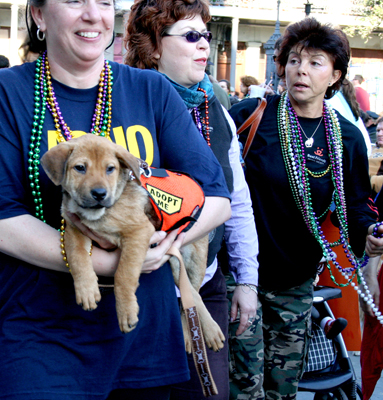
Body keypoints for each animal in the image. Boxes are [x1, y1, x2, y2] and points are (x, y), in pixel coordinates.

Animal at [40, 135, 225, 354]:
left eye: (110, 169)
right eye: (80, 168)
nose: (99, 193)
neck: (99, 213)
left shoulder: (138, 231)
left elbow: (124, 273)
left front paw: (126, 311)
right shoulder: (73, 230)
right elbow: (77, 257)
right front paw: (86, 289)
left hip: (194, 258)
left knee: (194, 294)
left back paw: (208, 332)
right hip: (176, 262)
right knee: (188, 293)